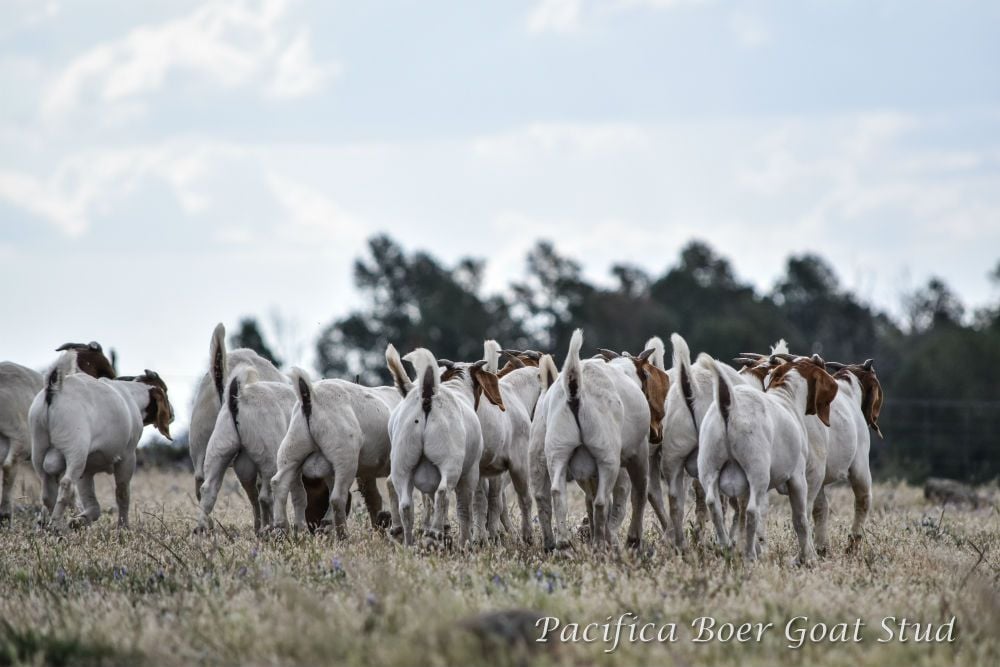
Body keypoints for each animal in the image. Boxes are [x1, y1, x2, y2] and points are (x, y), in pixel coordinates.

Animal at [29, 357, 172, 529]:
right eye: (165, 390)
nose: (172, 414)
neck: (131, 396)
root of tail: (54, 389)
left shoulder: (87, 471)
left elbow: (92, 503)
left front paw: (80, 520)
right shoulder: (127, 458)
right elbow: (122, 494)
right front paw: (123, 527)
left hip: (38, 449)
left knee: (47, 492)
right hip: (76, 451)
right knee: (66, 484)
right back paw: (57, 526)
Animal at [698, 355, 837, 564]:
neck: (786, 397)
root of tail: (730, 405)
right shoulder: (797, 478)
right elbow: (800, 520)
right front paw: (807, 557)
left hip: (709, 469)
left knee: (714, 506)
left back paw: (726, 548)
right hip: (758, 474)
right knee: (752, 512)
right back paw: (749, 556)